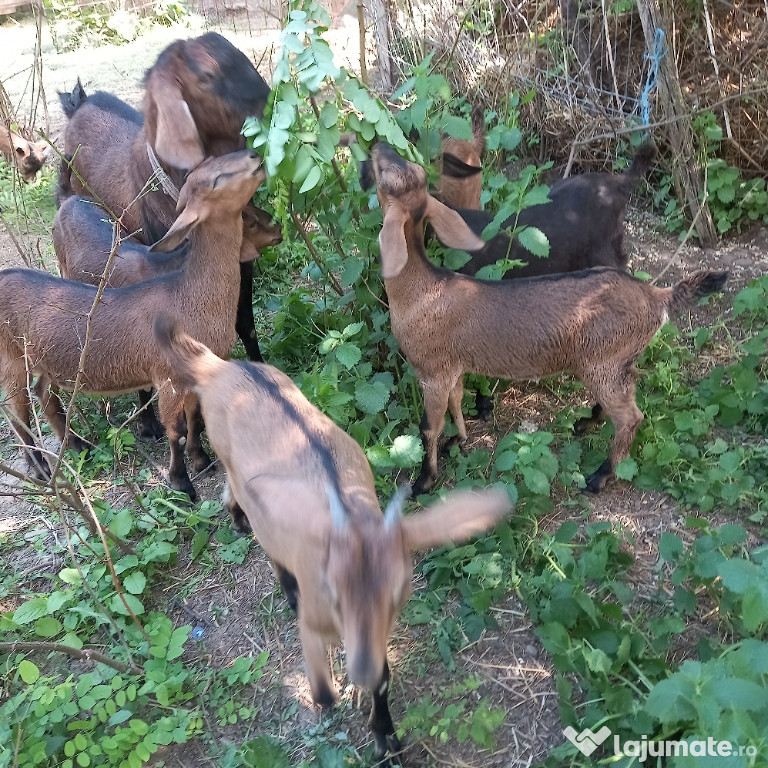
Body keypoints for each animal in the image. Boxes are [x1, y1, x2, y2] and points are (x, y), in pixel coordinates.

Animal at [0, 150, 264, 498]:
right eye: (217, 180)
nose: (255, 154)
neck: (186, 295)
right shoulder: (167, 376)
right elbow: (177, 429)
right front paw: (182, 484)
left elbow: (195, 418)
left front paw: (202, 461)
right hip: (11, 358)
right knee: (16, 411)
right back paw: (41, 469)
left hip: (43, 360)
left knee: (43, 393)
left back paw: (78, 445)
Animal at [153, 314, 510, 760]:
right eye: (334, 593)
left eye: (399, 593)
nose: (361, 670)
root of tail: (219, 369)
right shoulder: (316, 620)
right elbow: (321, 683)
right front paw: (330, 701)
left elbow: (384, 675)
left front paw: (385, 736)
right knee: (250, 514)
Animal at [368, 141, 728, 496]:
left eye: (386, 178)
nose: (378, 146)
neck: (424, 288)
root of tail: (656, 296)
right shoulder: (451, 366)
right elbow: (455, 403)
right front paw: (458, 440)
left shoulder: (431, 369)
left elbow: (429, 426)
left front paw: (424, 480)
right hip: (614, 361)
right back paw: (589, 421)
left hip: (604, 361)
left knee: (631, 418)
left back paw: (599, 477)